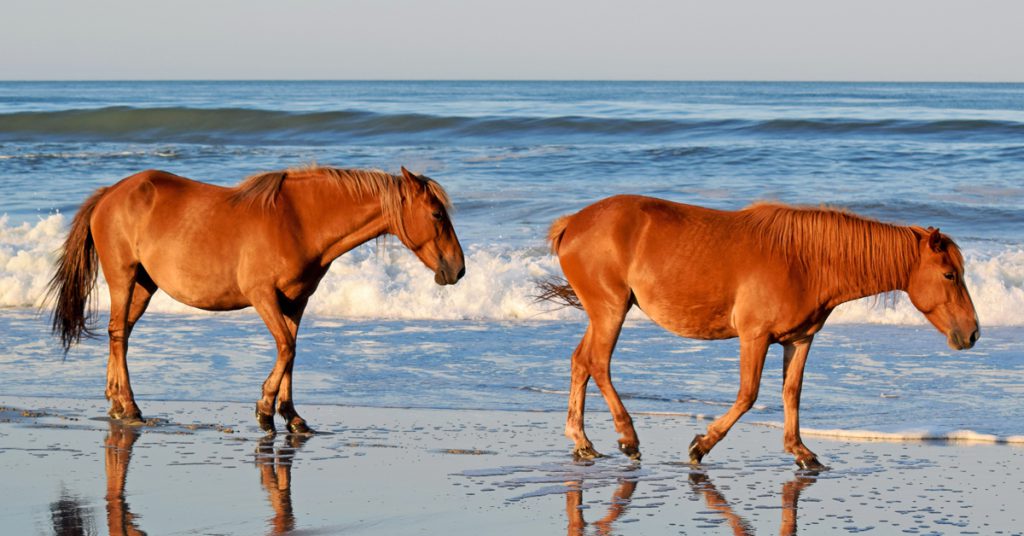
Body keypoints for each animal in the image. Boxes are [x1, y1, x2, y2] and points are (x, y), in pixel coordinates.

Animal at [48, 166, 464, 434]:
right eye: (436, 214)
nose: (457, 270)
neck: (299, 221)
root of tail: (110, 193)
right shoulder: (263, 296)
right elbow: (285, 348)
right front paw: (265, 409)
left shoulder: (296, 301)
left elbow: (291, 350)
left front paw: (292, 415)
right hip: (124, 278)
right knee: (119, 334)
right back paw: (131, 408)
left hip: (144, 286)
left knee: (119, 334)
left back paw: (116, 403)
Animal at [540, 194, 978, 467]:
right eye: (949, 274)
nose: (972, 333)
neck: (806, 261)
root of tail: (573, 223)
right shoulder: (755, 337)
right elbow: (748, 395)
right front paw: (701, 446)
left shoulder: (799, 339)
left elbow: (792, 393)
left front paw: (802, 452)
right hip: (610, 311)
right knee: (598, 363)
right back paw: (627, 438)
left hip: (603, 314)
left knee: (581, 362)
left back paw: (582, 443)